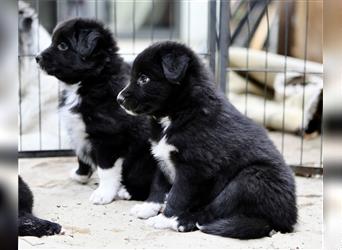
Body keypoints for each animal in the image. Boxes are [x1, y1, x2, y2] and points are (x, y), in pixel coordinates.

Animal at [35, 18, 157, 204]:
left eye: (62, 46)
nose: (37, 58)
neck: (92, 80)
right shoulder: (77, 130)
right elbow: (81, 156)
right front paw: (80, 175)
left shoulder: (108, 138)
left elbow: (106, 170)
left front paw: (103, 194)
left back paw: (127, 192)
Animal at [117, 42, 296, 239]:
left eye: (144, 78)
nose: (119, 99)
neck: (179, 112)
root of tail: (286, 220)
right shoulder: (161, 157)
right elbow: (158, 185)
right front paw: (148, 207)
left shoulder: (194, 168)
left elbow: (177, 195)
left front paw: (164, 218)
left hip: (249, 179)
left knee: (213, 210)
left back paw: (181, 222)